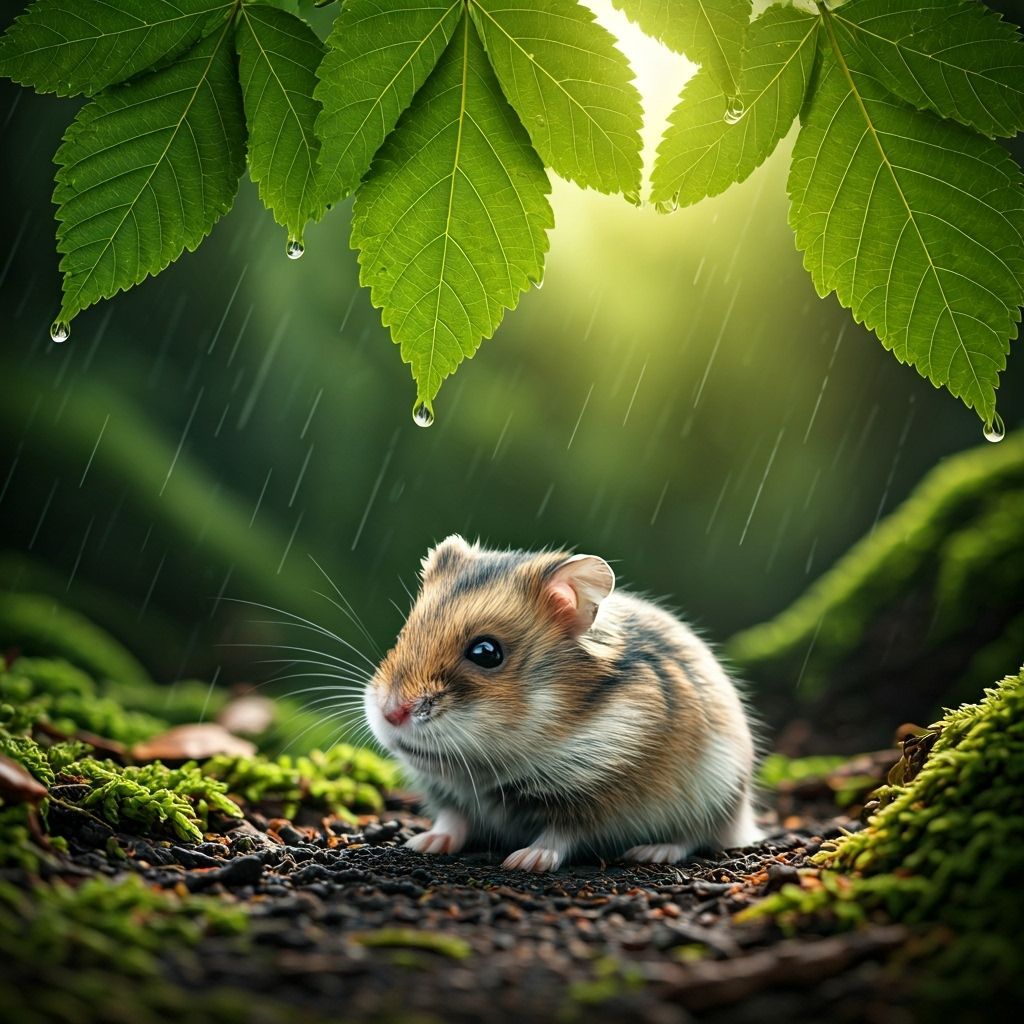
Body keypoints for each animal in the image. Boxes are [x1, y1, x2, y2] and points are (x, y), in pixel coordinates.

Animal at [364, 536, 762, 872]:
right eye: (404, 632)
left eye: (486, 652)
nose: (390, 713)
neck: (483, 768)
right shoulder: (448, 792)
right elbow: (452, 818)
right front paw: (422, 843)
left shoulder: (593, 798)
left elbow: (562, 834)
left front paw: (525, 861)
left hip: (719, 792)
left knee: (696, 835)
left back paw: (651, 852)